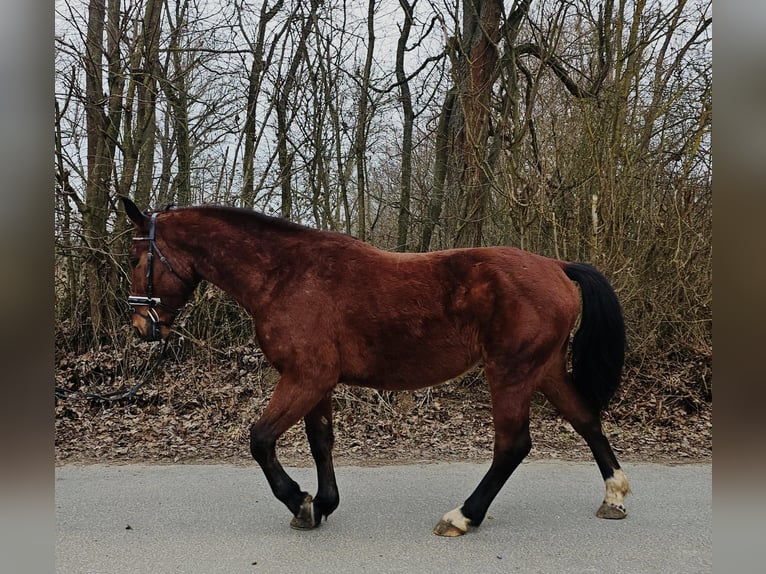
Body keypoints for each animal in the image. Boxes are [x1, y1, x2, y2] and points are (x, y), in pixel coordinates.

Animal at [123, 199, 632, 540]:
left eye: (135, 258)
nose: (141, 325)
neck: (286, 276)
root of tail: (558, 266)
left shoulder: (305, 377)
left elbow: (261, 440)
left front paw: (299, 501)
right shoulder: (317, 383)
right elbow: (321, 442)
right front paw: (323, 503)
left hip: (510, 372)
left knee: (513, 446)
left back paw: (463, 515)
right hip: (543, 369)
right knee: (586, 420)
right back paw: (614, 495)